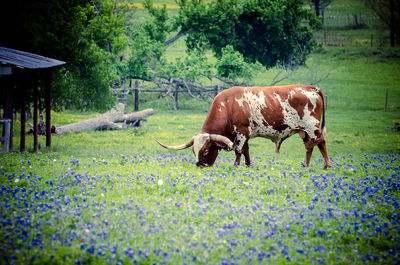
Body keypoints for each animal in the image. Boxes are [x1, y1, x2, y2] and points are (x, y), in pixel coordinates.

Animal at [156, 83, 332, 168]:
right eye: (194, 151)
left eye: (205, 150)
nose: (200, 165)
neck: (228, 106)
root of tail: (312, 88)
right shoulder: (245, 134)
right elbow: (246, 151)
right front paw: (247, 165)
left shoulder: (241, 133)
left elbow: (239, 150)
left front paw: (236, 166)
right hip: (305, 131)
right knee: (309, 147)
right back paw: (306, 166)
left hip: (312, 128)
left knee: (321, 143)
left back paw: (326, 166)